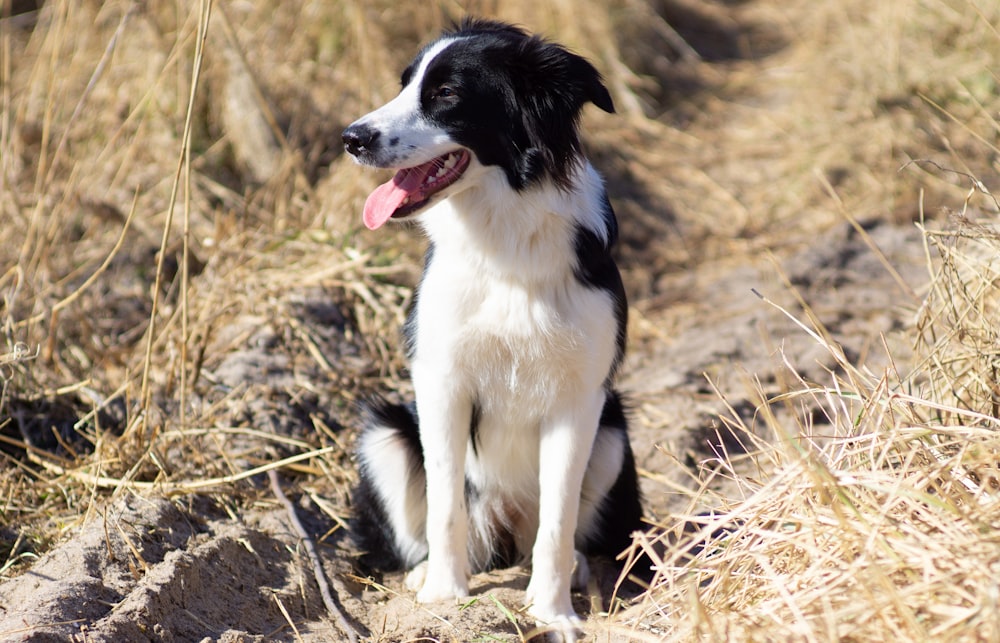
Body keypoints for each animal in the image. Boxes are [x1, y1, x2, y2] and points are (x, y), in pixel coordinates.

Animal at [340, 17, 644, 636]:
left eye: (446, 94)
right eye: (406, 85)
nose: (351, 138)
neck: (504, 236)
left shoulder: (580, 398)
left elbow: (557, 522)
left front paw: (553, 613)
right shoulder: (440, 380)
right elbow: (446, 503)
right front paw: (444, 597)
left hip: (614, 434)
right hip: (384, 434)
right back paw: (423, 575)